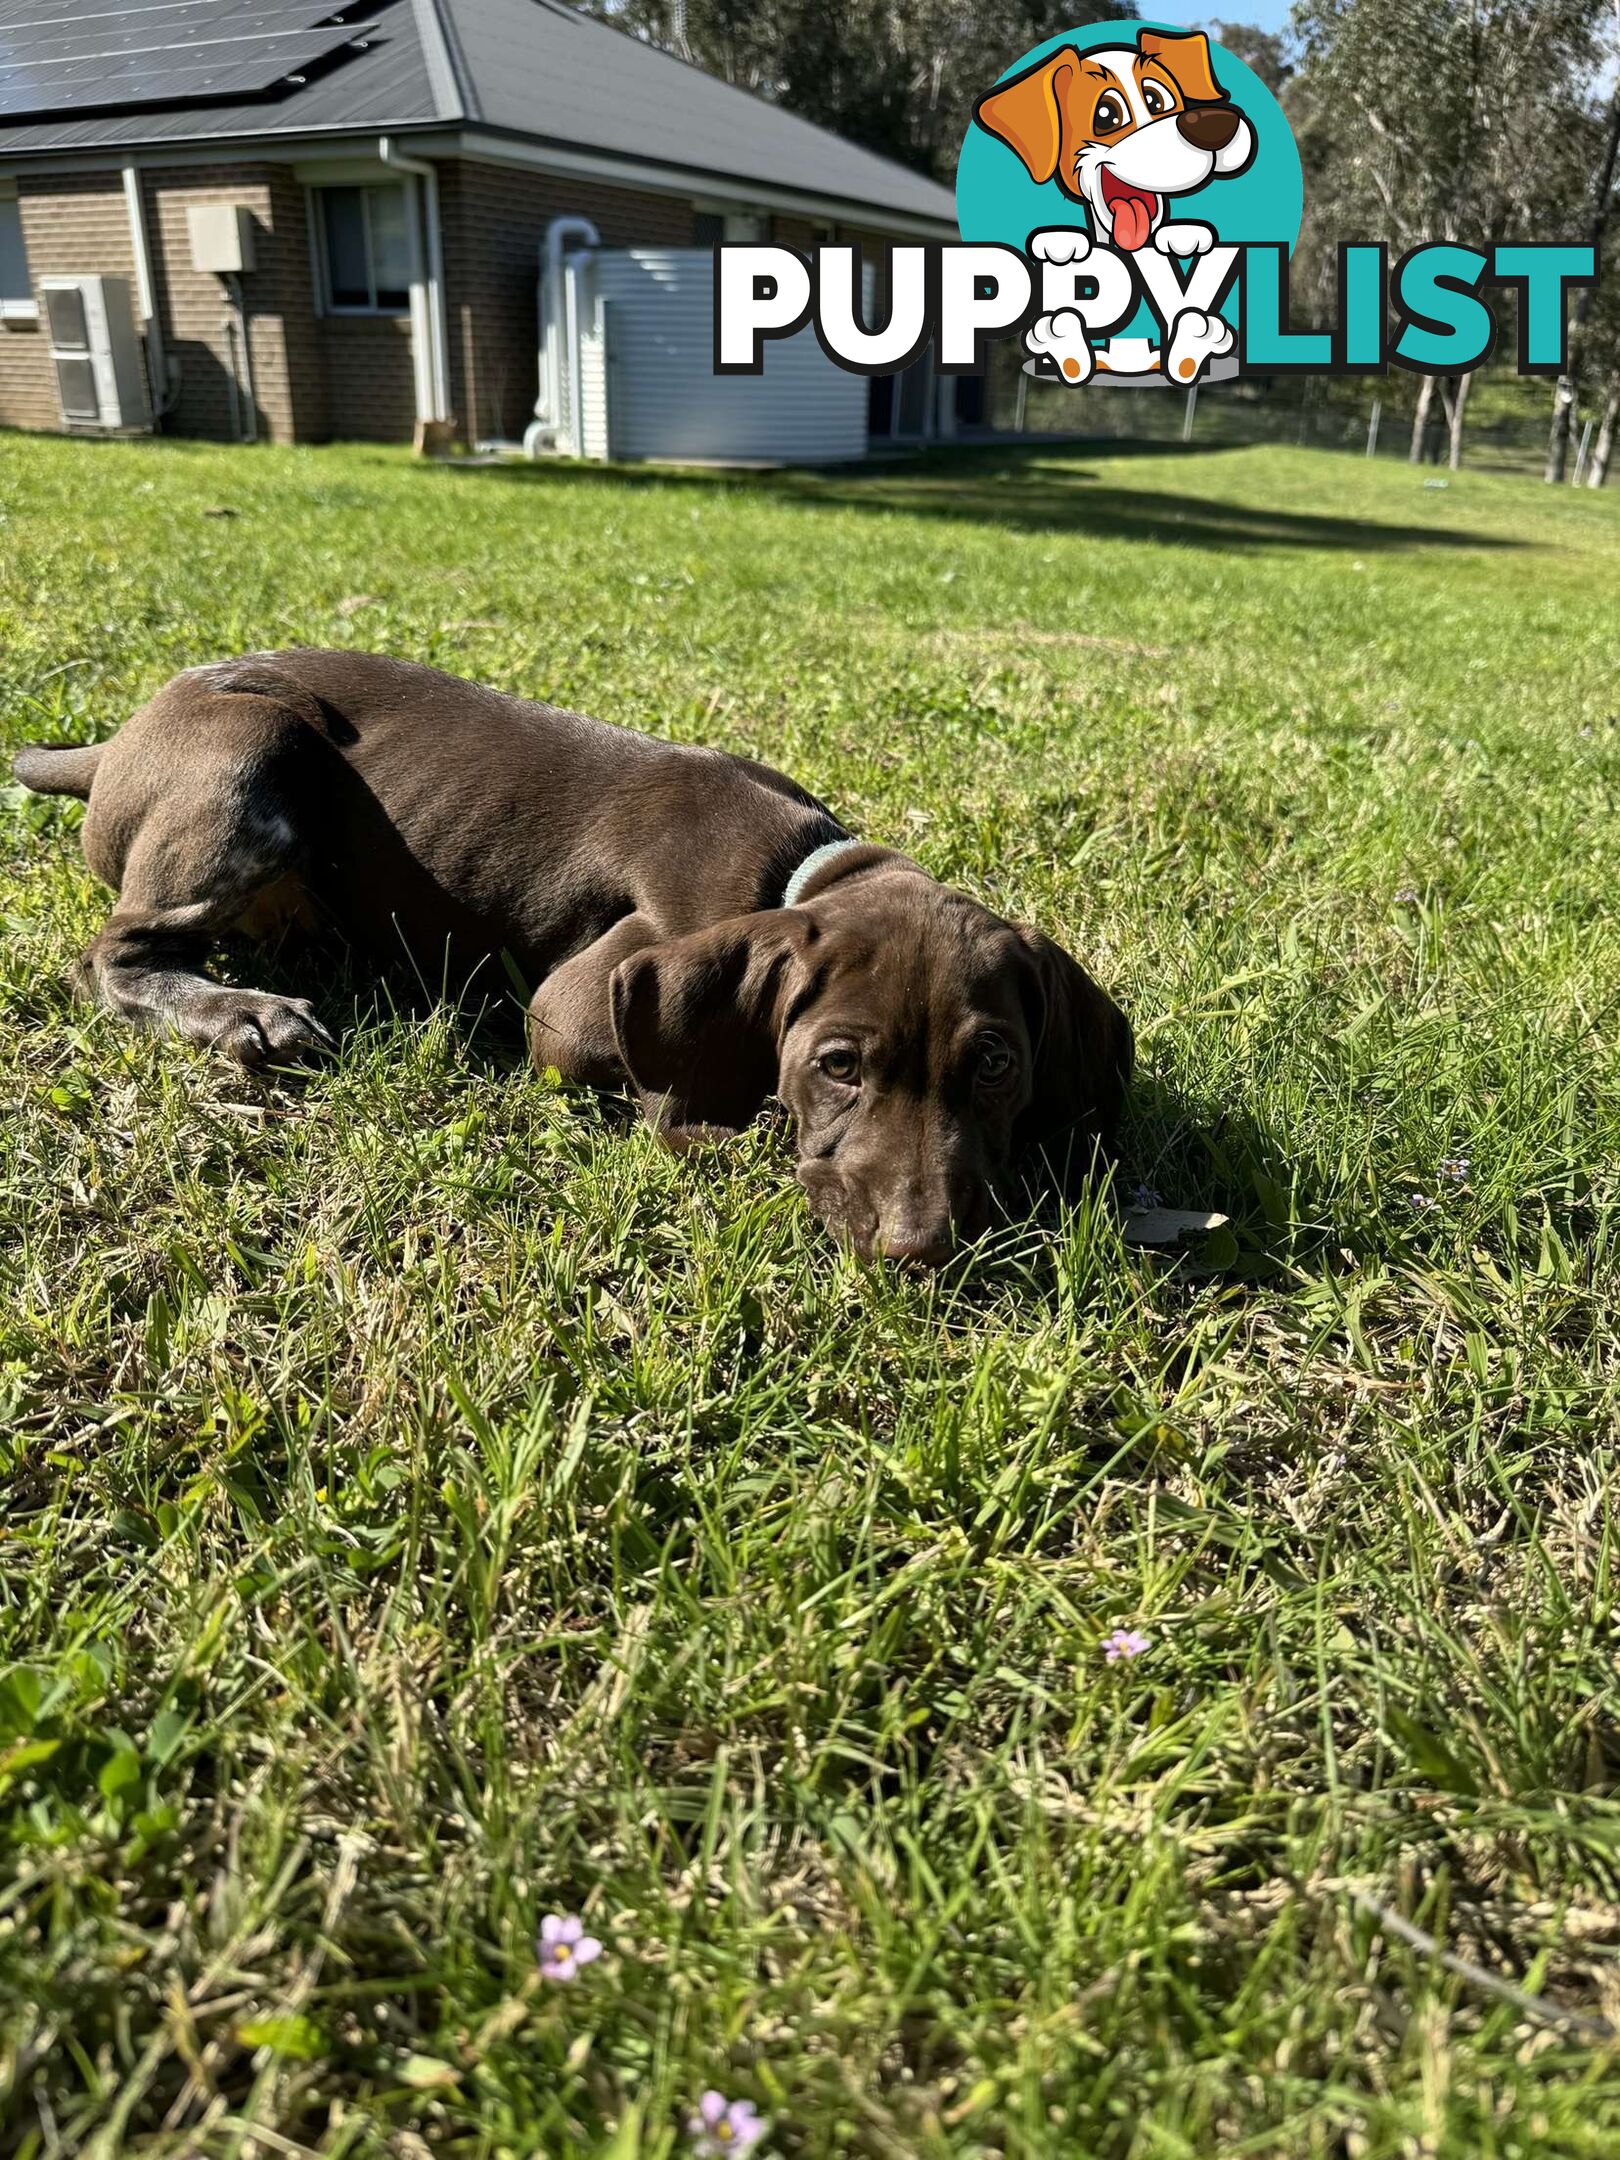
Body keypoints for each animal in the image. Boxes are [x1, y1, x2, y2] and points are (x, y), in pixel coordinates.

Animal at [15, 656, 1131, 1261]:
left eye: (996, 1065)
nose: (920, 1246)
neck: (792, 872)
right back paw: (242, 1012)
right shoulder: (571, 1005)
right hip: (251, 748)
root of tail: (117, 740)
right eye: (838, 1067)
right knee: (114, 955)